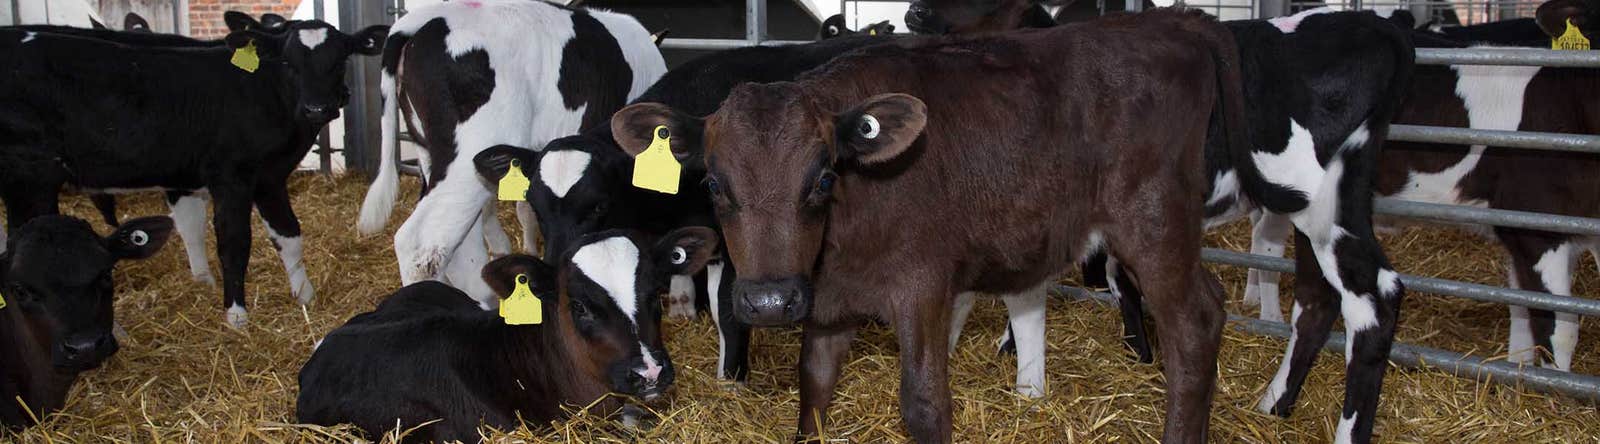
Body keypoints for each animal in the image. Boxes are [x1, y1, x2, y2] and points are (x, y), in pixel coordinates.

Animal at [0, 20, 388, 329]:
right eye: (288, 63)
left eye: (339, 61)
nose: (317, 108)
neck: (262, 93)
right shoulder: (231, 177)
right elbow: (233, 243)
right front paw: (236, 316)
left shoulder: (268, 177)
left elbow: (287, 235)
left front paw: (305, 297)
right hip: (29, 177)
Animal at [611, 9, 1246, 442]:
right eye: (714, 185)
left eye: (823, 178)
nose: (769, 302)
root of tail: (1173, 26)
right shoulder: (826, 304)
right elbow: (812, 390)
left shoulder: (923, 288)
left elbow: (924, 407)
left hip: (1154, 221)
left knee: (1196, 322)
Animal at [1251, 0, 1599, 373]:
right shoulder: (1535, 227)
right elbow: (1558, 329)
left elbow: (1521, 308)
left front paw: (1516, 371)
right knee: (1267, 240)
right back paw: (1269, 316)